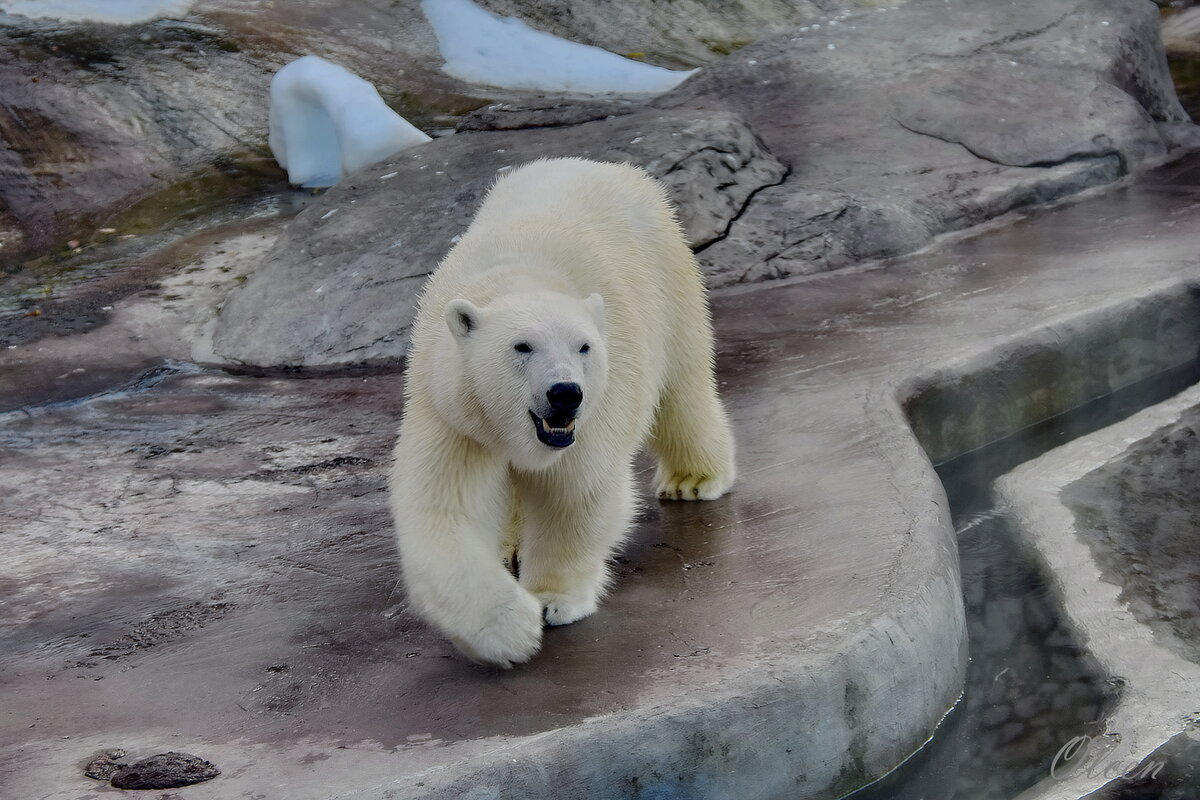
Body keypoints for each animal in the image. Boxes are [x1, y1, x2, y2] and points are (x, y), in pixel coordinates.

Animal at [389, 157, 736, 667]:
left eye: (583, 345)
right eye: (522, 346)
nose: (565, 393)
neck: (520, 274)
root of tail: (607, 167)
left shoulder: (598, 407)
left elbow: (575, 492)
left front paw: (551, 601)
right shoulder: (455, 411)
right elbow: (445, 509)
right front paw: (509, 629)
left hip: (668, 280)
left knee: (681, 387)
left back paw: (693, 480)